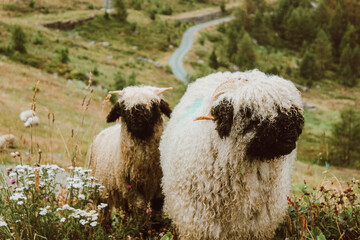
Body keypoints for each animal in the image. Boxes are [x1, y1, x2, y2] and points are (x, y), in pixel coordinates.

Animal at [90, 85, 174, 220]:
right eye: (124, 108)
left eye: (153, 105)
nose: (137, 122)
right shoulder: (129, 186)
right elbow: (140, 206)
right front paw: (141, 224)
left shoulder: (160, 185)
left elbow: (157, 206)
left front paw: (156, 223)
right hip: (102, 189)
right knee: (104, 209)